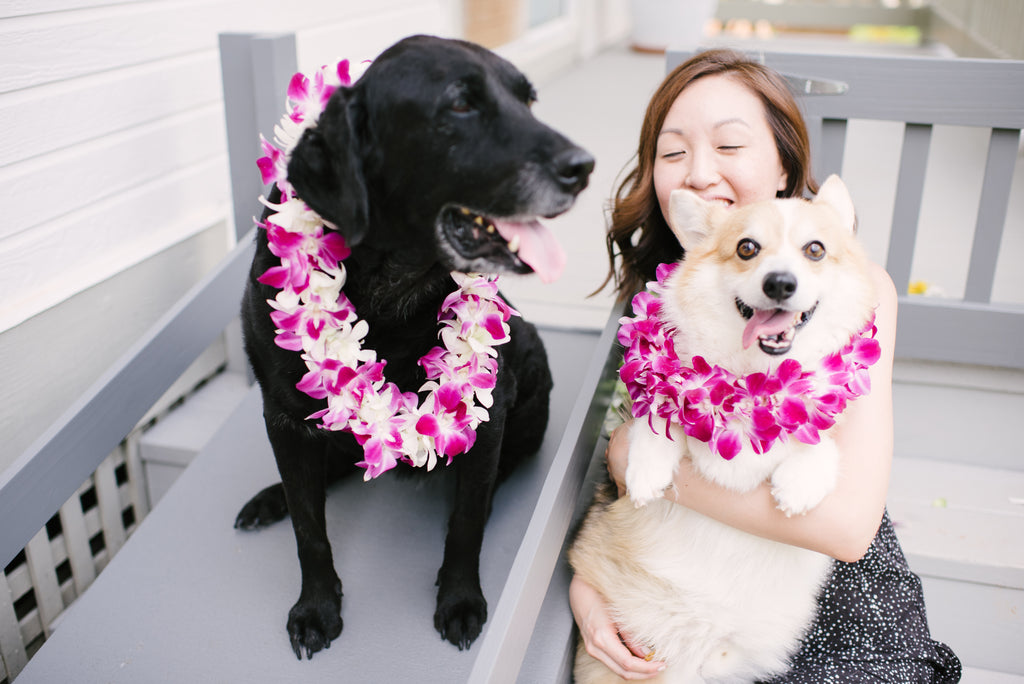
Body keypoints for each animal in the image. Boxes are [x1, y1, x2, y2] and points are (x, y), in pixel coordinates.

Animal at [573, 176, 876, 684]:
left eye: (815, 250)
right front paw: (645, 472)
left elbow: (820, 442)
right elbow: (657, 422)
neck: (756, 378)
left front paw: (800, 481)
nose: (780, 283)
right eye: (746, 248)